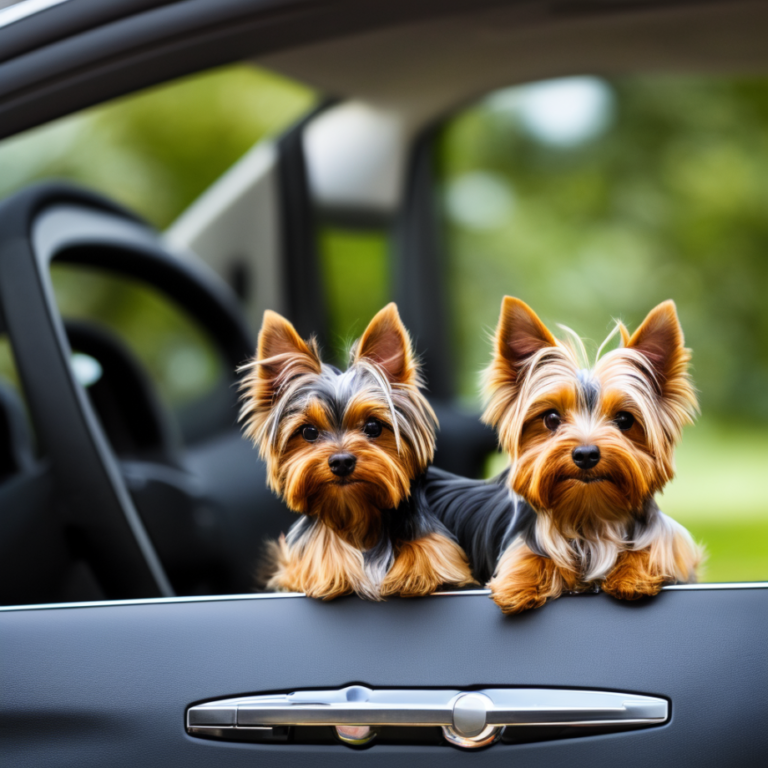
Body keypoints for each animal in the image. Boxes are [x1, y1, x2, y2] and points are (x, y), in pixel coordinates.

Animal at [426, 296, 704, 616]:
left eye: (624, 420)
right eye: (551, 418)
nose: (585, 454)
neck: (589, 514)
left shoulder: (674, 545)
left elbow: (657, 547)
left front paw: (633, 574)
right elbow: (531, 554)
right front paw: (519, 584)